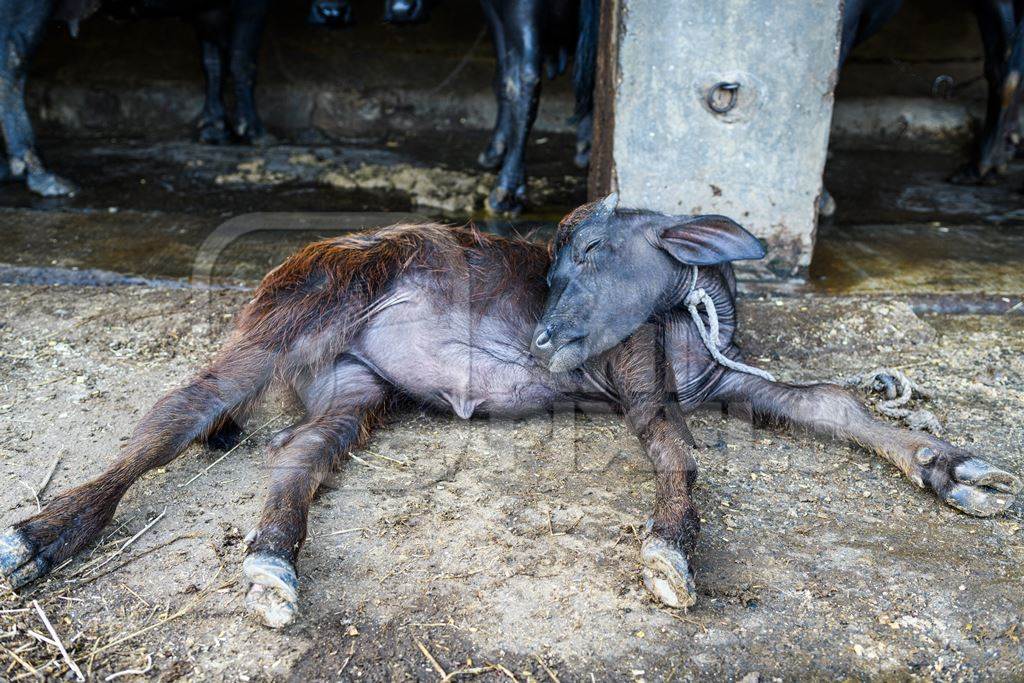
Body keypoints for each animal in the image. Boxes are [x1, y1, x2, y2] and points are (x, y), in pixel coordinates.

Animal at [2, 193, 1015, 630]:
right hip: (293, 313)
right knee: (176, 413)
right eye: (552, 260)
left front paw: (954, 468)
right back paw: (44, 534)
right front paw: (670, 550)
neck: (689, 313)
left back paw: (271, 566)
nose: (542, 339)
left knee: (295, 452)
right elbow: (677, 451)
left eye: (597, 250)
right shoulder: (644, 382)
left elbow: (837, 403)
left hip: (356, 389)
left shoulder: (725, 381)